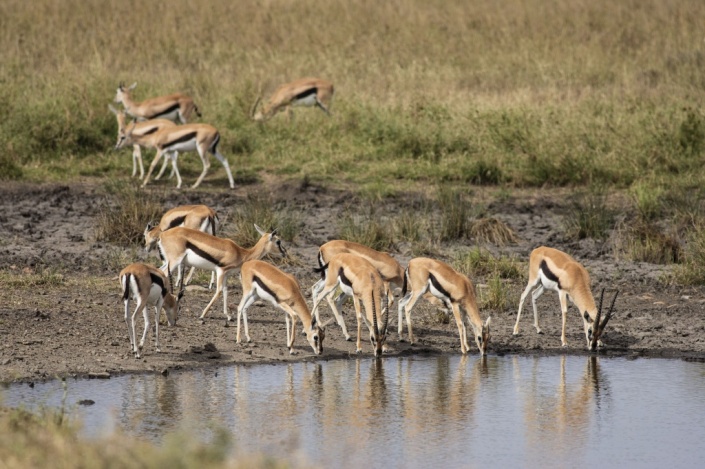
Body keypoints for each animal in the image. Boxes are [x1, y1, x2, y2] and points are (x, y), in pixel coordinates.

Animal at [157, 224, 287, 321]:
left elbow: (225, 291)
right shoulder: (221, 271)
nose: (284, 253)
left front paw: (228, 316)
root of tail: (162, 235)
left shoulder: (226, 274)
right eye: (278, 241)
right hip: (174, 262)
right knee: (163, 274)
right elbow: (219, 291)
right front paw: (202, 315)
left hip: (169, 262)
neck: (242, 253)